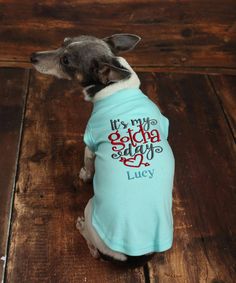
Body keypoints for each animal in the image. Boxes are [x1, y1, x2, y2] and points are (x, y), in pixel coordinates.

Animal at [30, 34, 175, 268]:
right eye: (64, 41)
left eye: (66, 61)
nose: (32, 56)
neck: (116, 87)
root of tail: (133, 258)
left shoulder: (90, 144)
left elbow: (88, 165)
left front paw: (84, 174)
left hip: (90, 208)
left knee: (95, 252)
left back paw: (81, 227)